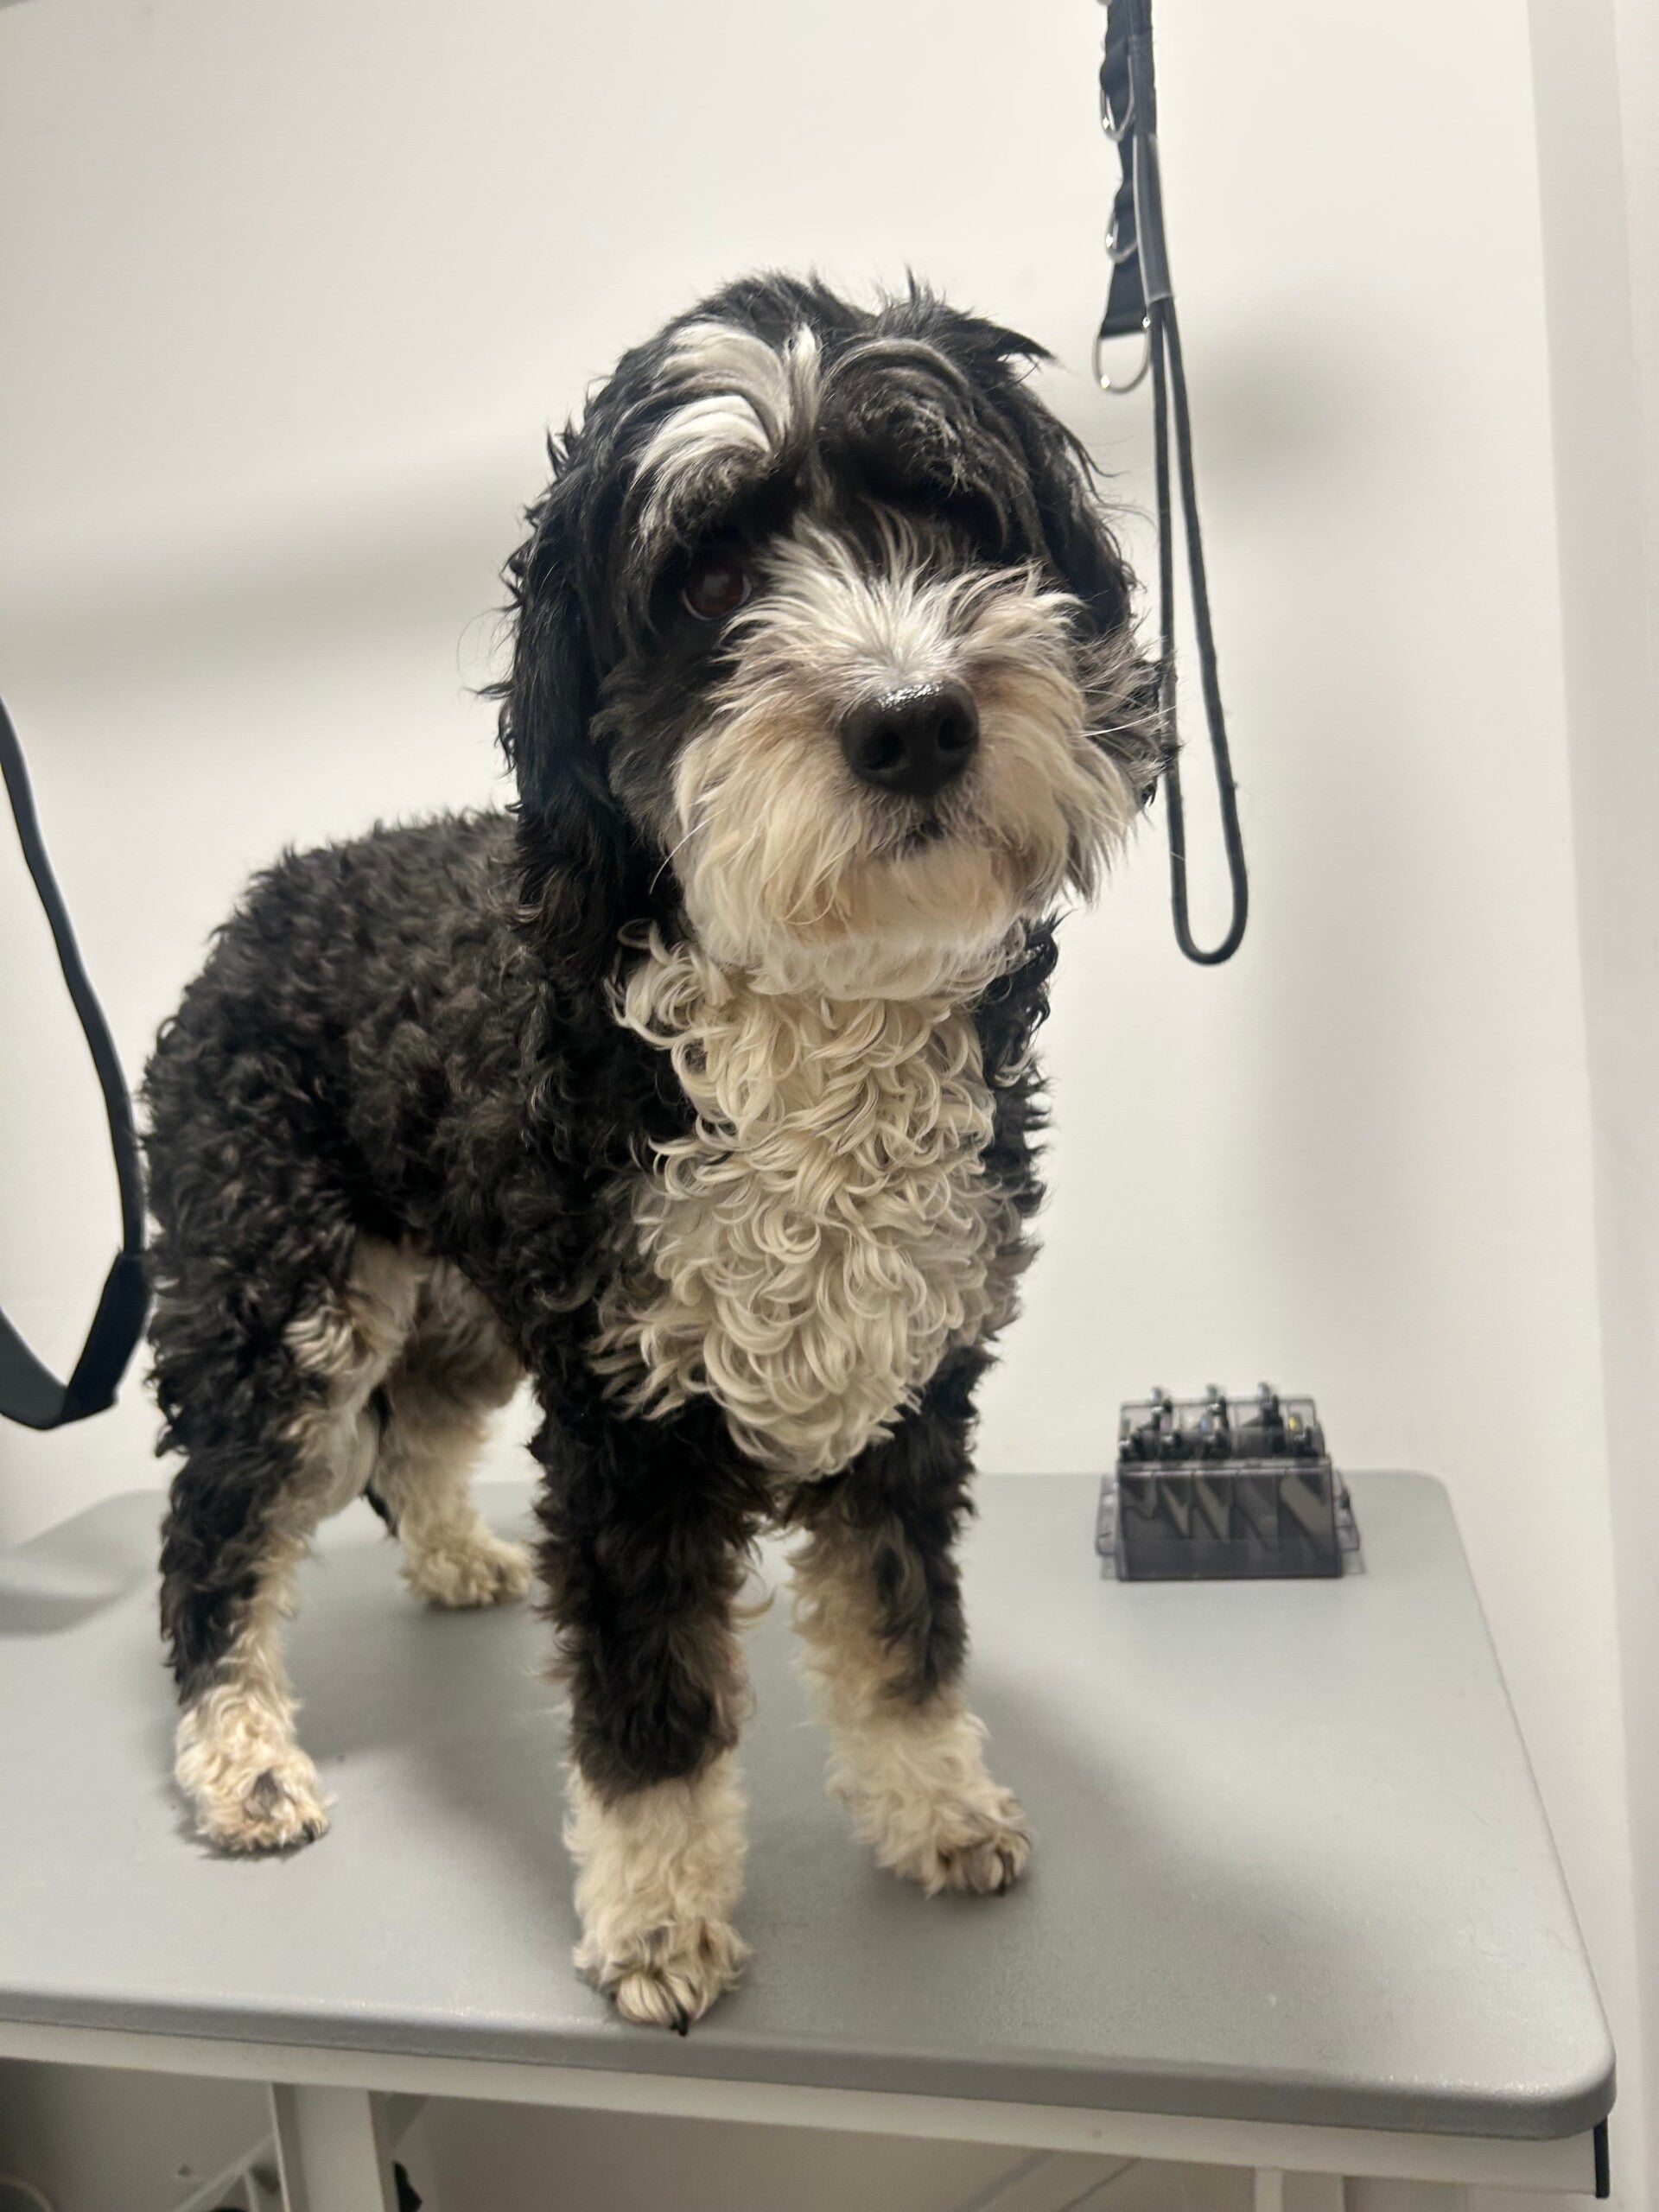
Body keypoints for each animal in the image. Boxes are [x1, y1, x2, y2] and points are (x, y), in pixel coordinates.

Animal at [142, 273, 1157, 2030]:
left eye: (951, 516)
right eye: (709, 581)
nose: (915, 722)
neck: (812, 1024)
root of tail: (270, 897)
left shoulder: (908, 1390)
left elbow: (904, 1633)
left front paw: (937, 1808)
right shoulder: (633, 1432)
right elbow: (654, 1714)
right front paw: (660, 1925)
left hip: (470, 1303)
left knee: (412, 1443)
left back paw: (457, 1559)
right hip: (284, 1300)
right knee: (215, 1536)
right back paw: (241, 1759)